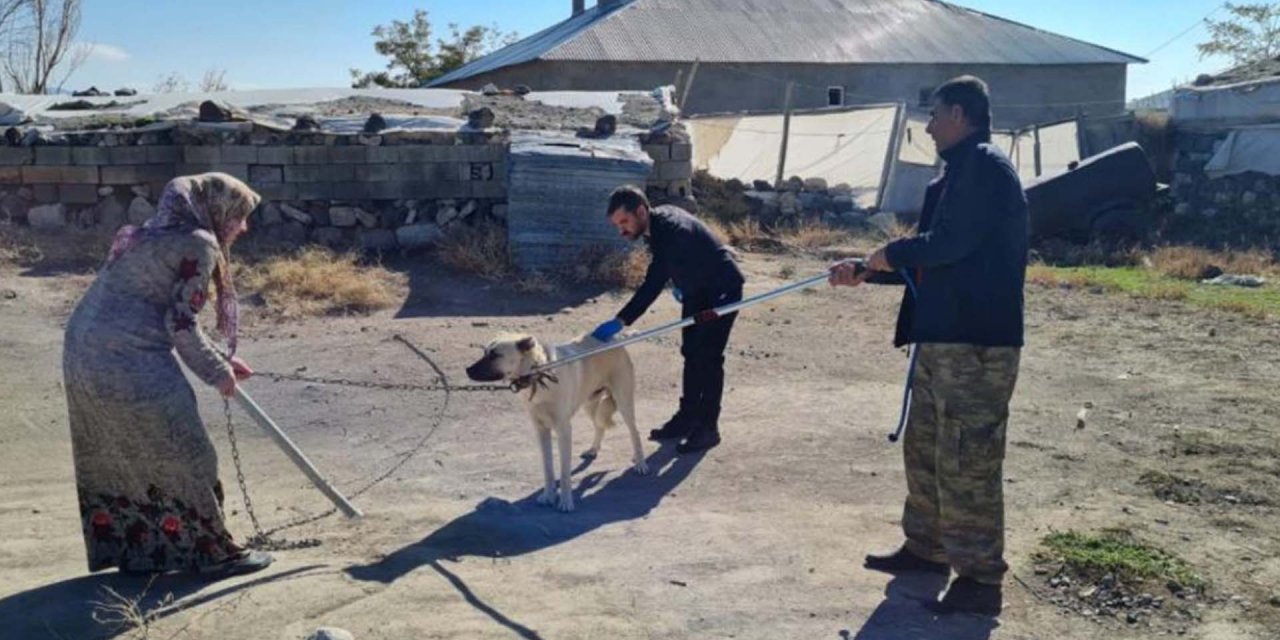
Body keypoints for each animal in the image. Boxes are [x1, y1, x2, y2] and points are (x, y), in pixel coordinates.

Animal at [465, 335, 650, 509]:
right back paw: (593, 449)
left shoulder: (564, 430)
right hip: (589, 403)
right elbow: (548, 468)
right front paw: (548, 495)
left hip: (623, 402)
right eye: (484, 352)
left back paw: (640, 463)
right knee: (599, 426)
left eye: (495, 355)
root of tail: (615, 341)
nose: (467, 370)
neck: (539, 376)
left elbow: (564, 471)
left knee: (635, 432)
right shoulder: (541, 430)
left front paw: (566, 502)